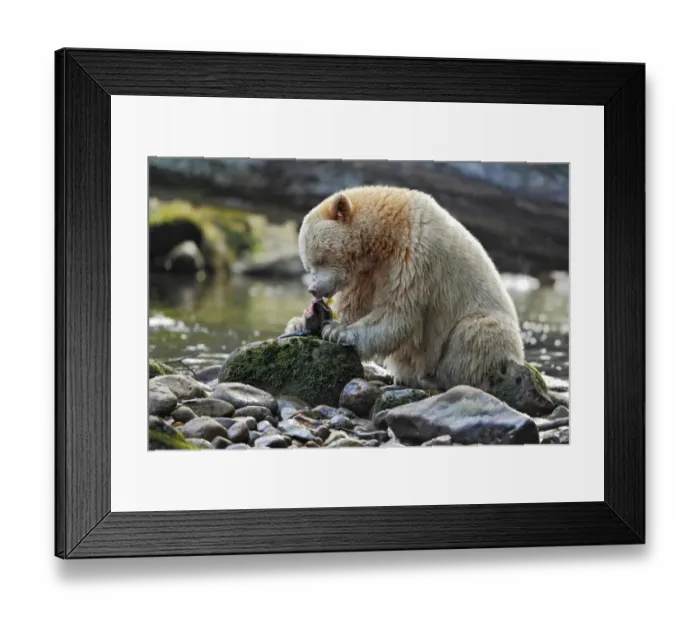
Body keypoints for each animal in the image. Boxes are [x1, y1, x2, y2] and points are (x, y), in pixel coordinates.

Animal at [283, 185, 525, 392]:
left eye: (320, 258)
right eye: (307, 265)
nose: (313, 289)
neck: (385, 233)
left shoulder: (415, 255)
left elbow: (398, 312)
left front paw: (337, 332)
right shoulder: (365, 274)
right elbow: (354, 305)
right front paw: (302, 321)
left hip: (488, 323)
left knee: (476, 333)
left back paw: (437, 378)